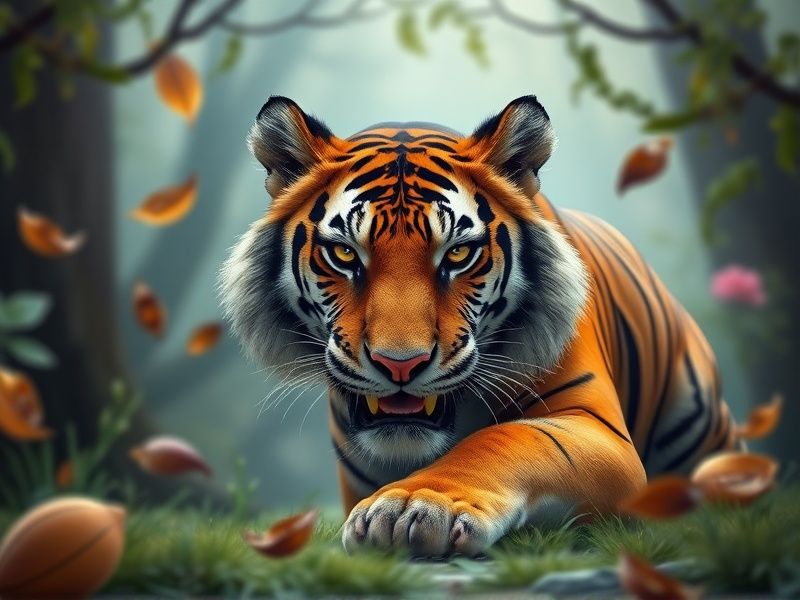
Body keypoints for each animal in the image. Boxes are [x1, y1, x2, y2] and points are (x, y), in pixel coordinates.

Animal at [220, 95, 740, 557]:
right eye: (345, 253)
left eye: (457, 254)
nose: (400, 364)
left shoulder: (596, 424)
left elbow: (505, 439)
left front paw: (413, 506)